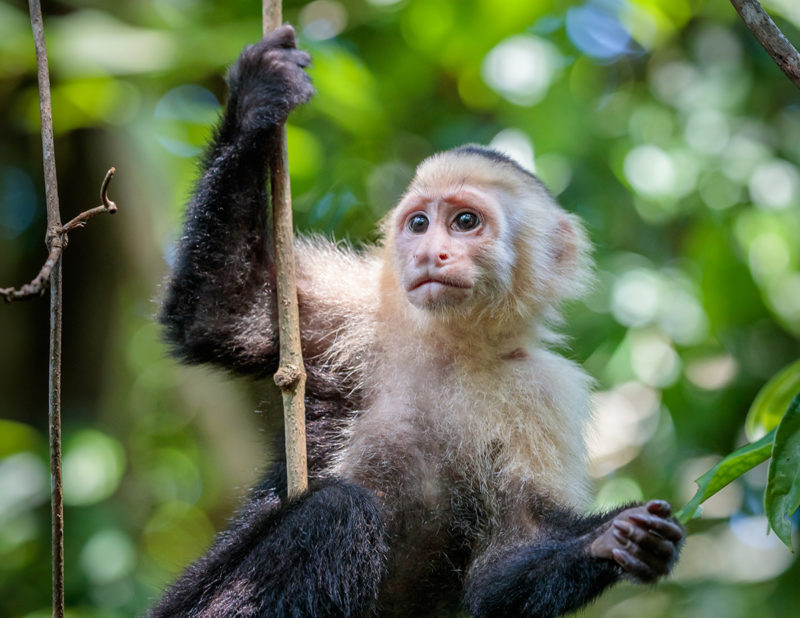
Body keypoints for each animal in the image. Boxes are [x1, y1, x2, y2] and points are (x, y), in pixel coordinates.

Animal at [153, 25, 684, 616]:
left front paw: (613, 539)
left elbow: (501, 568)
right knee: (337, 511)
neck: (453, 345)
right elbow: (220, 313)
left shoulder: (546, 389)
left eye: (466, 221)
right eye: (420, 223)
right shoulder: (364, 309)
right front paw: (259, 98)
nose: (431, 253)